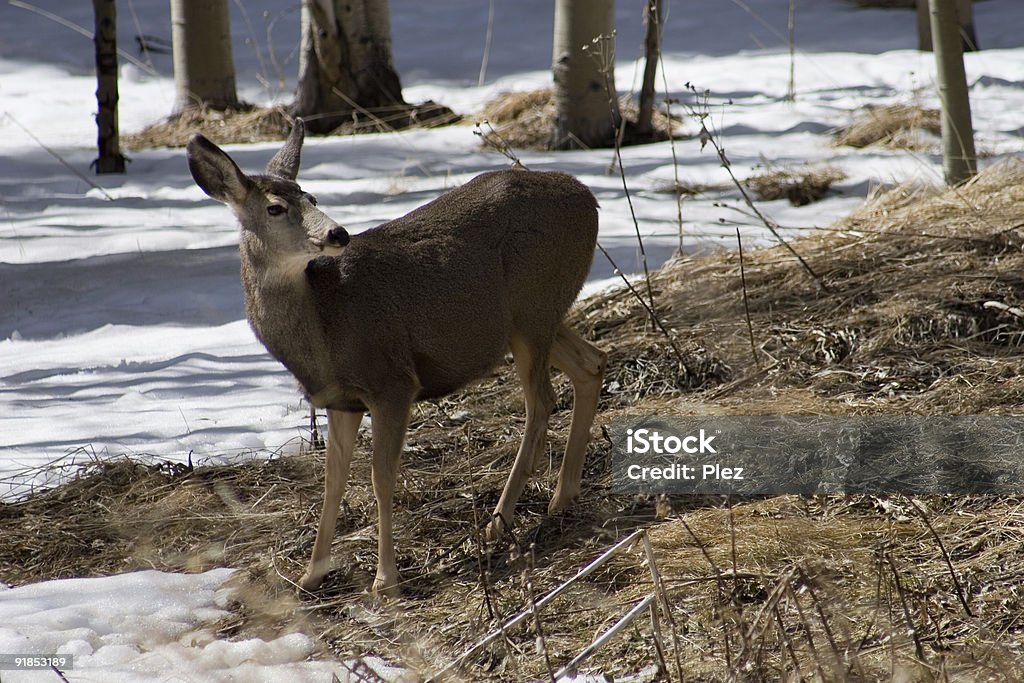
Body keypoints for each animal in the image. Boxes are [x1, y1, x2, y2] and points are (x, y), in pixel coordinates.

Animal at [187, 122, 602, 598]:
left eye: (312, 197)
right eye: (275, 207)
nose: (338, 234)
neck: (324, 330)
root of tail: (588, 198)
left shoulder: (391, 382)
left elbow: (380, 477)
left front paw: (385, 580)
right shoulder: (340, 400)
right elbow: (333, 482)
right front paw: (311, 574)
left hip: (533, 308)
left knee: (541, 401)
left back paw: (500, 520)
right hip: (536, 317)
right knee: (592, 363)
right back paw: (562, 496)